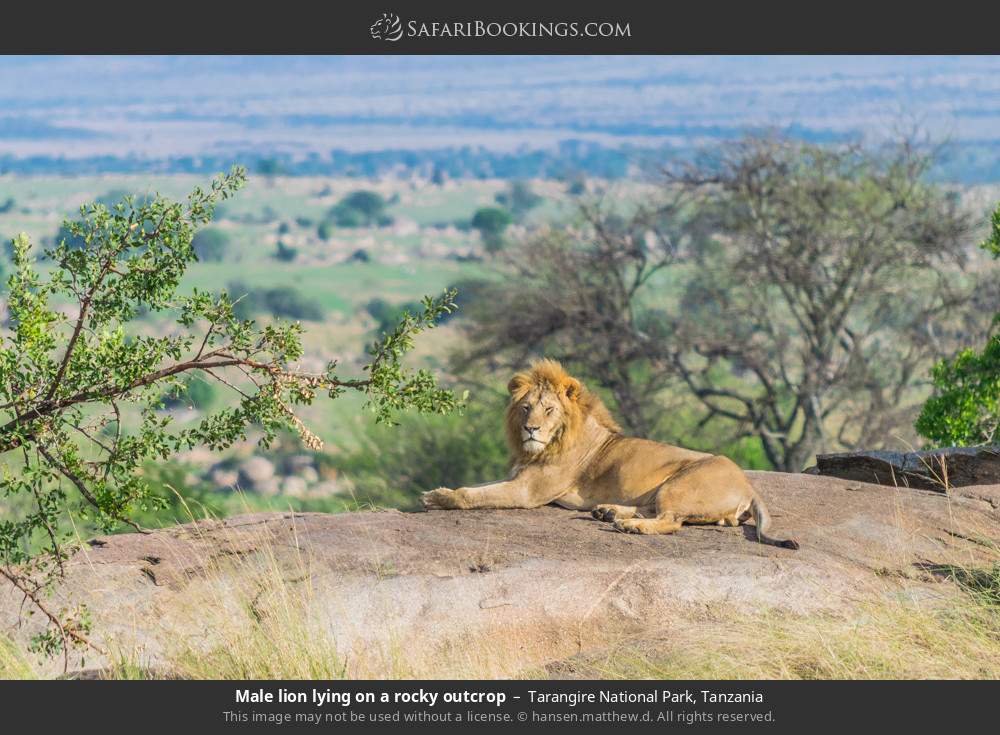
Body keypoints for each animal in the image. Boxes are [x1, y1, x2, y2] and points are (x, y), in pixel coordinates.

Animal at [422, 359, 799, 549]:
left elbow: (473, 495)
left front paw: (437, 497)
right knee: (662, 512)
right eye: (526, 407)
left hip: (680, 483)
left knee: (671, 521)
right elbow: (479, 486)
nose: (531, 429)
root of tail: (750, 486)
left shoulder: (527, 491)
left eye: (548, 410)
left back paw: (628, 525)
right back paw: (608, 512)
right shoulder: (516, 478)